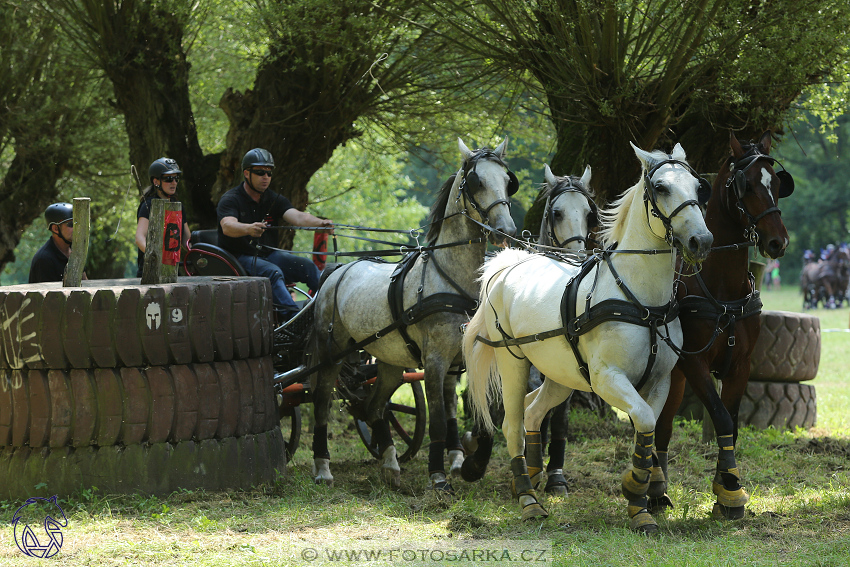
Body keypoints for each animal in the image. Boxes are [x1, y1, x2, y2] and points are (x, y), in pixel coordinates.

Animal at [306, 136, 512, 492]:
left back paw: (390, 462)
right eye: (476, 181)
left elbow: (485, 416)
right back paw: (323, 467)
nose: (505, 229)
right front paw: (439, 476)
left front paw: (472, 464)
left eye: (506, 180)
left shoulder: (470, 358)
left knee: (374, 407)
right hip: (332, 352)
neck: (450, 278)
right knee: (322, 402)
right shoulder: (435, 361)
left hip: (389, 361)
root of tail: (337, 270)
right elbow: (440, 420)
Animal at [460, 142, 712, 532]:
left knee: (534, 412)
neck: (641, 301)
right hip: (512, 362)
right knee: (512, 424)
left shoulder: (658, 383)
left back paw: (533, 479)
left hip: (561, 376)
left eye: (699, 188)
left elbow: (647, 428)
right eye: (661, 188)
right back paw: (528, 501)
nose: (701, 240)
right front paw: (636, 492)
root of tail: (508, 264)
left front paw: (640, 501)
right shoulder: (607, 379)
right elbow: (645, 421)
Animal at [648, 131, 796, 520]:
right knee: (659, 423)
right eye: (747, 186)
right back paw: (654, 490)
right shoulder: (694, 361)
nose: (778, 241)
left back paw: (658, 486)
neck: (724, 290)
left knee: (664, 424)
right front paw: (730, 489)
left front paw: (726, 489)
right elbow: (721, 418)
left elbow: (731, 422)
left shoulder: (740, 365)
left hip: (676, 378)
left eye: (777, 184)